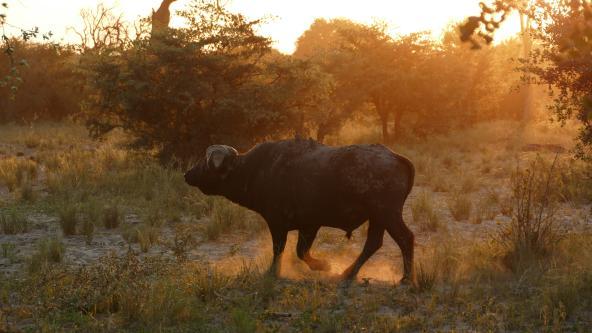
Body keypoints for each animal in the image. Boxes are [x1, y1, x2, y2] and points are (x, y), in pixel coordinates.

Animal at [185, 137, 416, 282]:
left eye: (205, 162)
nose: (188, 174)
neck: (255, 169)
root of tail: (396, 157)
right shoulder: (309, 226)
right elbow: (301, 251)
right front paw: (323, 266)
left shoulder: (278, 223)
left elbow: (280, 249)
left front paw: (274, 272)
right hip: (378, 218)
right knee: (373, 243)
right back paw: (348, 273)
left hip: (387, 214)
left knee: (405, 238)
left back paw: (406, 278)